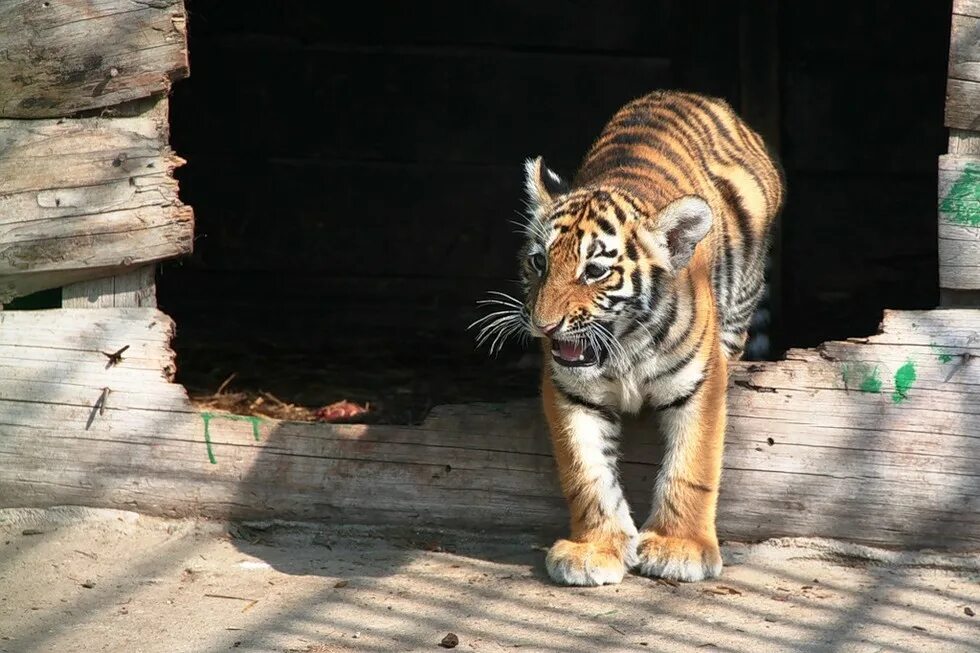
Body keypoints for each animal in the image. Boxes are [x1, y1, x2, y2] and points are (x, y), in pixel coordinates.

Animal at [470, 89, 784, 584]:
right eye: (539, 262)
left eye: (595, 271)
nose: (543, 325)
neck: (625, 347)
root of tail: (693, 94)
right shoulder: (570, 391)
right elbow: (586, 471)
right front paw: (594, 549)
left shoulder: (701, 383)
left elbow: (692, 465)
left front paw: (681, 547)